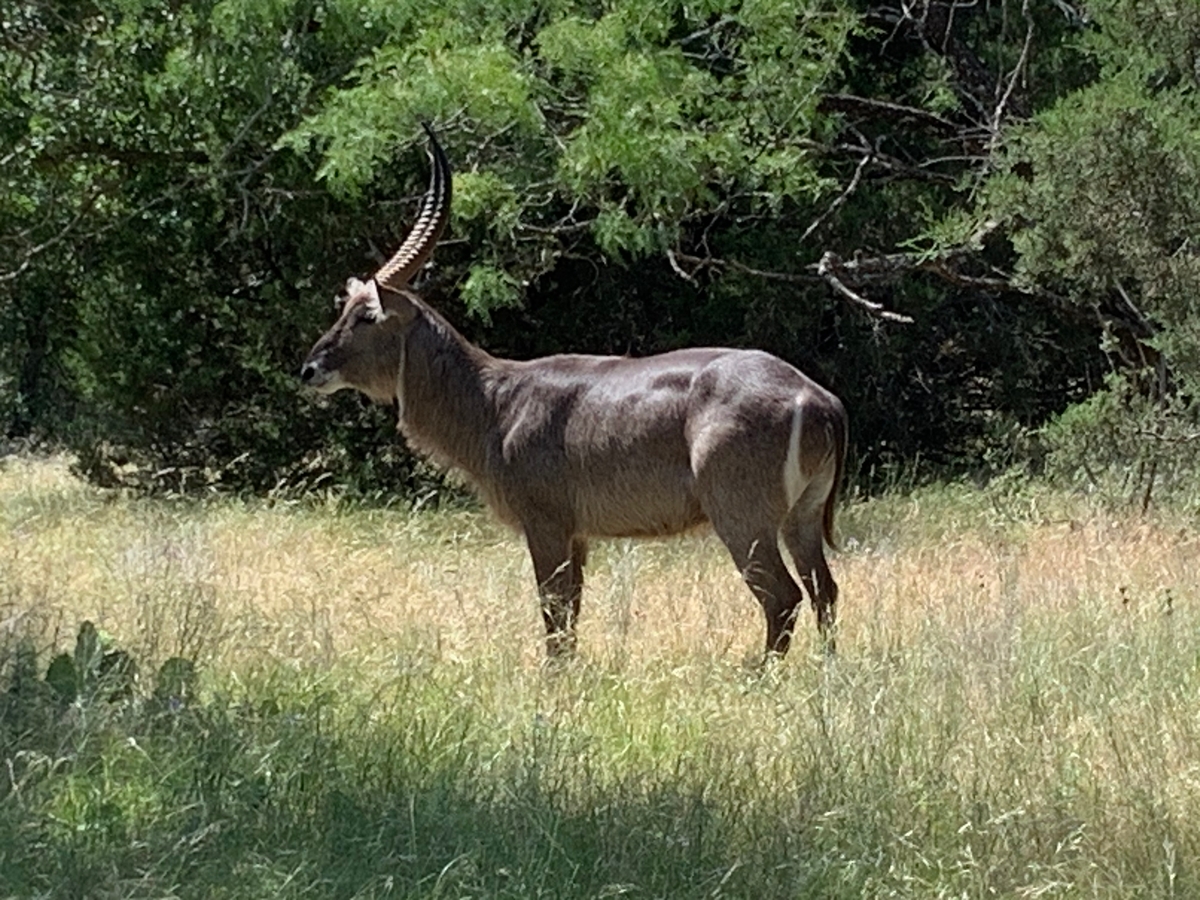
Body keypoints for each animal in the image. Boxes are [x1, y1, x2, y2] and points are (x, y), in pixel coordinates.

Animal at [298, 127, 844, 657]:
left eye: (367, 316)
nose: (309, 369)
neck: (495, 403)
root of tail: (817, 397)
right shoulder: (578, 534)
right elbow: (572, 617)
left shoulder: (547, 524)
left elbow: (554, 616)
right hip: (802, 517)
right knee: (825, 589)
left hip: (742, 519)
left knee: (783, 597)